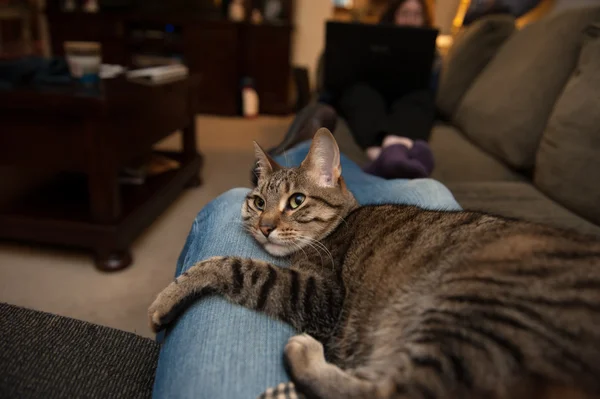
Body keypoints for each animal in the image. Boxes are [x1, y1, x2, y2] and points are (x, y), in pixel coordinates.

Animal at [149, 130, 600, 398]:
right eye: (259, 202)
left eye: (296, 201)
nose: (264, 226)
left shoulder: (324, 295)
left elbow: (230, 265)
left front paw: (167, 298)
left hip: (477, 310)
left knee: (399, 392)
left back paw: (303, 359)